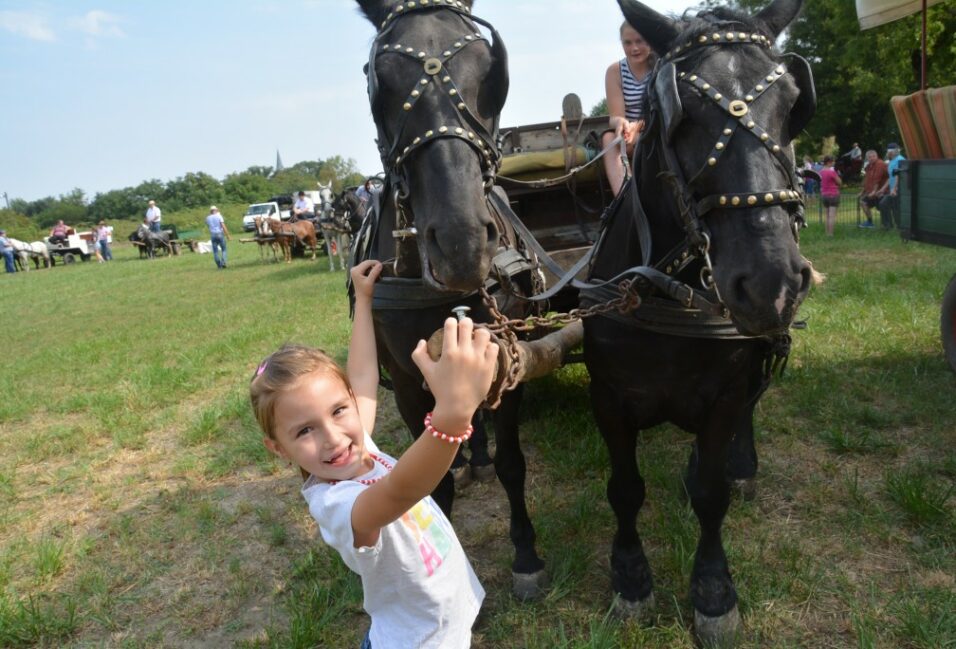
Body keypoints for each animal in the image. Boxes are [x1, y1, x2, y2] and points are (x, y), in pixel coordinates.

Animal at [576, 0, 816, 640]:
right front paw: (631, 577)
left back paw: (741, 464)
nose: (770, 282)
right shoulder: (607, 396)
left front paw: (713, 591)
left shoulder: (727, 391)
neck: (668, 294)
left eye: (792, 105)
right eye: (678, 114)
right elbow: (625, 489)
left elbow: (711, 494)